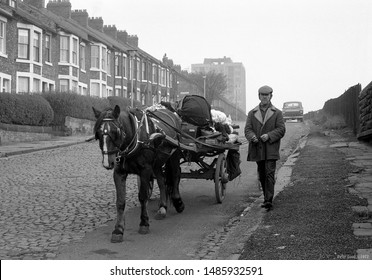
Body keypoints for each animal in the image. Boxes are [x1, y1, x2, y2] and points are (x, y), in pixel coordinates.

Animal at [92, 105, 185, 243]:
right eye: (98, 133)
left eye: (115, 132)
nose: (108, 162)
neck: (135, 139)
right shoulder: (119, 173)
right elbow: (120, 202)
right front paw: (118, 230)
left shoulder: (145, 170)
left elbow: (143, 197)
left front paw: (144, 223)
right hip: (157, 164)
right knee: (162, 182)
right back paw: (162, 208)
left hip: (174, 155)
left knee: (175, 176)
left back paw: (178, 202)